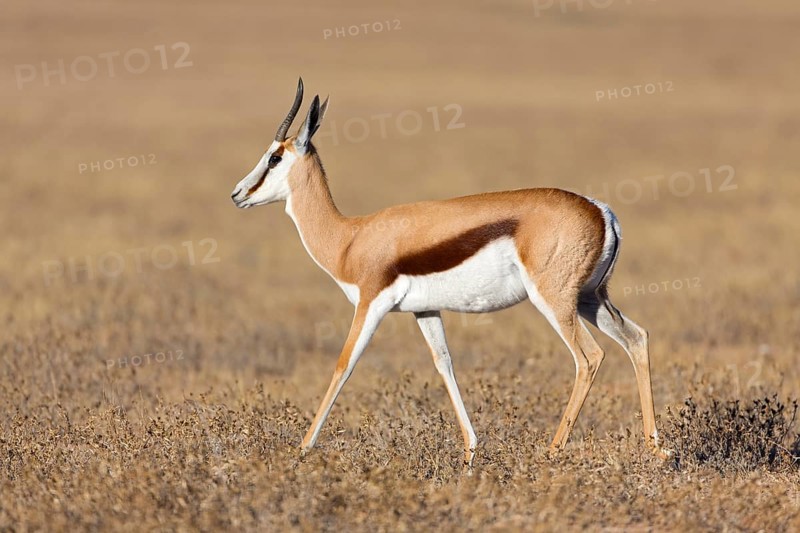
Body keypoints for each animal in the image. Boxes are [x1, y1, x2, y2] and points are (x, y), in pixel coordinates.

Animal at [230, 79, 670, 467]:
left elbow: (344, 364)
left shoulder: (370, 304)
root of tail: (601, 210)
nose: (237, 193)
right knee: (636, 338)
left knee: (589, 357)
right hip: (590, 299)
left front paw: (301, 451)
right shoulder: (424, 310)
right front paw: (471, 452)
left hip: (556, 301)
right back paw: (657, 450)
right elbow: (444, 363)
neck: (349, 238)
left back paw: (551, 453)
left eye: (274, 157)